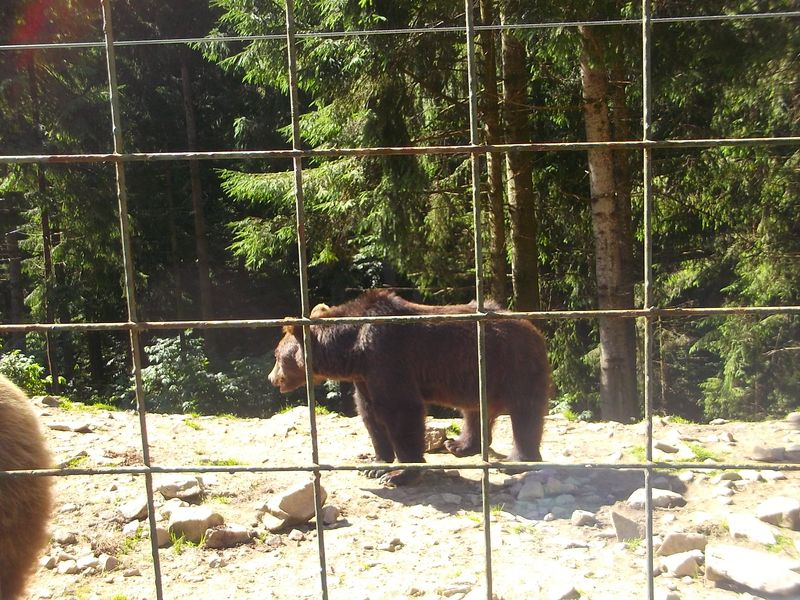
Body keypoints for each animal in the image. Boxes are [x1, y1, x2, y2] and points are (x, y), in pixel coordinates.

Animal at [269, 290, 552, 486]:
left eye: (277, 355)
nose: (272, 378)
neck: (353, 349)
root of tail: (535, 330)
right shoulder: (366, 376)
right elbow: (369, 414)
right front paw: (375, 464)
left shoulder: (387, 357)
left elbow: (400, 411)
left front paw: (399, 474)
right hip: (479, 377)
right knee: (474, 411)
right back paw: (458, 445)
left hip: (515, 367)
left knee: (525, 414)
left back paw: (516, 461)